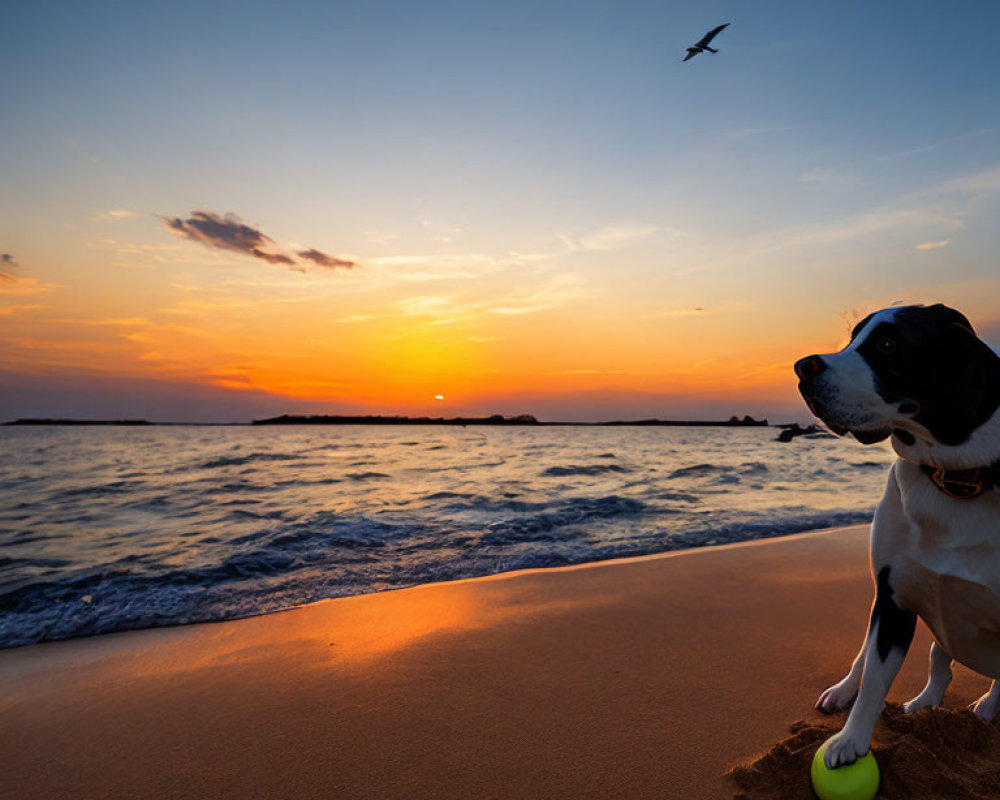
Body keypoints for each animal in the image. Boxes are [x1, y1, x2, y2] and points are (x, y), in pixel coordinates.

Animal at [796, 304, 1000, 764]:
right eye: (852, 338)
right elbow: (873, 681)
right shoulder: (891, 600)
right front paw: (850, 741)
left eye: (888, 344)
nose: (802, 366)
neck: (954, 478)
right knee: (925, 664)